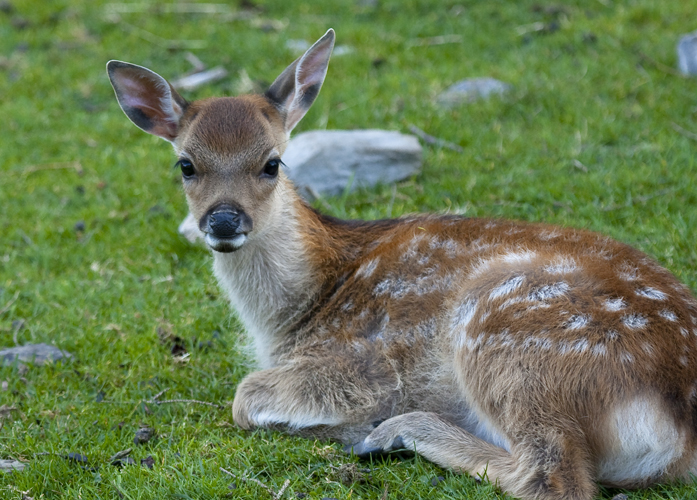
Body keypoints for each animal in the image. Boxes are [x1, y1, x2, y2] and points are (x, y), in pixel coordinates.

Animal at [104, 29, 697, 498]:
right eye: (186, 164)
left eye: (272, 163)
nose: (224, 221)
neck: (299, 309)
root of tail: (678, 423)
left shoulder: (365, 365)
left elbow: (245, 396)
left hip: (511, 334)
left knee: (552, 477)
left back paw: (392, 433)